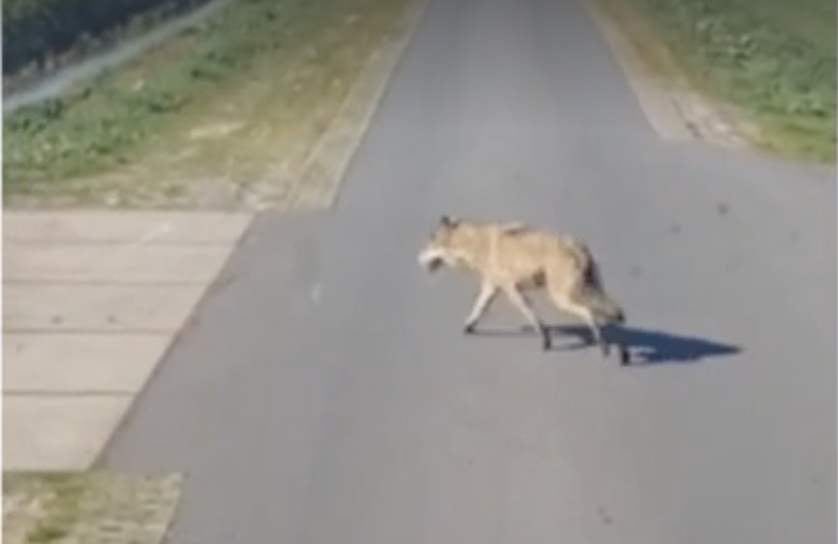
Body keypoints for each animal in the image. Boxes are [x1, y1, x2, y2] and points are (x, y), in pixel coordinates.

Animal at [417, 215, 629, 364]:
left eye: (429, 244)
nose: (417, 258)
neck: (475, 243)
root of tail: (578, 246)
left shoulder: (512, 289)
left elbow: (533, 318)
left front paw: (545, 341)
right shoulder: (492, 287)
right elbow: (477, 310)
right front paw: (467, 327)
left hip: (561, 297)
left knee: (591, 314)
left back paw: (605, 346)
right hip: (585, 293)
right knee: (614, 316)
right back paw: (621, 352)